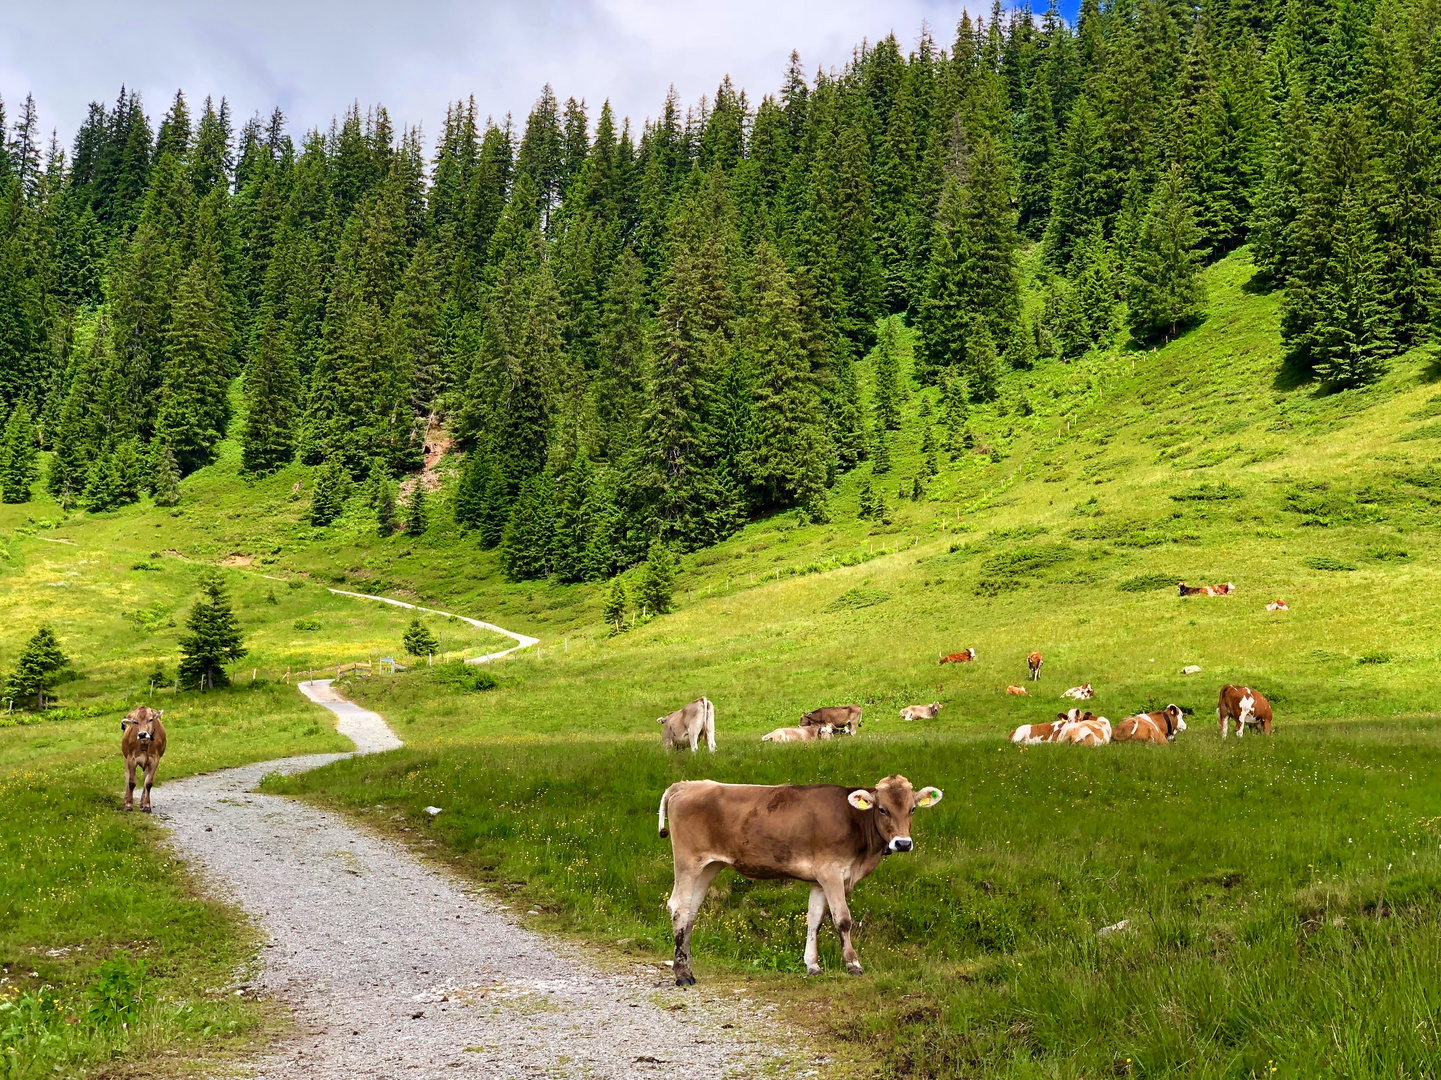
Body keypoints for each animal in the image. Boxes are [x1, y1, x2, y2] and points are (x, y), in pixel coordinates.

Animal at [657, 772, 945, 980]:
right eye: (883, 809)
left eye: (912, 809)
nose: (903, 843)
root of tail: (686, 785)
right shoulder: (831, 872)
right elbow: (843, 920)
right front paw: (853, 964)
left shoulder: (818, 880)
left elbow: (814, 920)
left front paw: (812, 966)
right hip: (688, 861)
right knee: (679, 908)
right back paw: (682, 974)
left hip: (709, 866)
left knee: (691, 911)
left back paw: (686, 965)